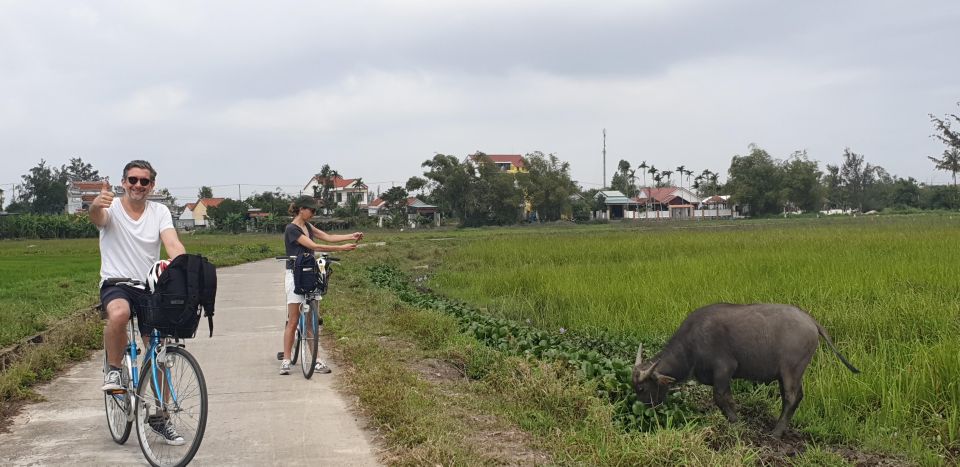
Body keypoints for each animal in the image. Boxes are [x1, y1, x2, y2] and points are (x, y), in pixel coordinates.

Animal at [632, 304, 860, 438]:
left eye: (642, 389)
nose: (642, 412)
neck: (691, 344)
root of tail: (810, 321)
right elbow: (726, 399)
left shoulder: (724, 370)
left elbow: (721, 398)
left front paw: (736, 422)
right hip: (788, 373)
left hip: (791, 370)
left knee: (791, 397)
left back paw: (776, 433)